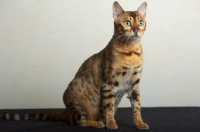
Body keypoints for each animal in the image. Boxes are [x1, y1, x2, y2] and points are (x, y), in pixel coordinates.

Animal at [0, 1, 148, 130]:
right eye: (127, 23)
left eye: (140, 22)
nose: (136, 30)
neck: (131, 52)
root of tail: (67, 111)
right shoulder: (109, 84)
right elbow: (109, 107)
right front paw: (111, 123)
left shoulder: (134, 85)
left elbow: (137, 107)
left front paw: (140, 123)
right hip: (78, 105)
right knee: (78, 122)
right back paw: (97, 123)